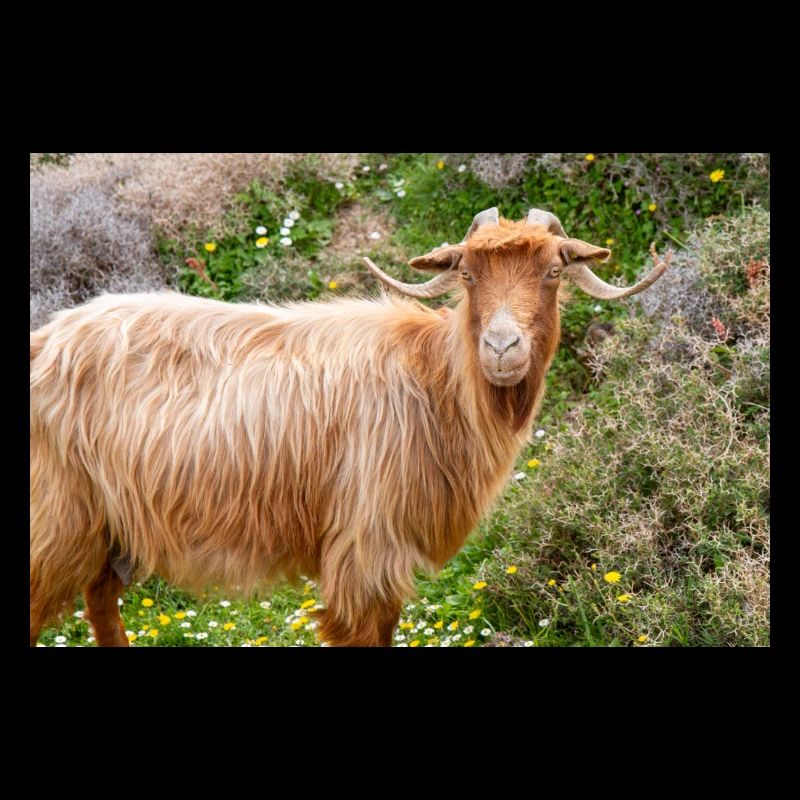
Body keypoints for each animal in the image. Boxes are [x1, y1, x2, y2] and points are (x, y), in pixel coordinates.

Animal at [29, 207, 669, 647]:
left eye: (554, 270)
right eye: (467, 274)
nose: (502, 347)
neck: (433, 382)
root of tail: (47, 340)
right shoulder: (366, 549)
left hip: (108, 529)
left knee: (101, 604)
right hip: (55, 520)